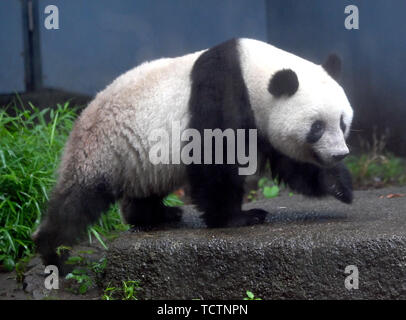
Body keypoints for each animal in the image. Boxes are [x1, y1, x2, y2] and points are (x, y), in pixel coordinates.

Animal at [33, 37, 354, 268]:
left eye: (342, 122)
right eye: (316, 127)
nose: (339, 154)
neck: (253, 70)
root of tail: (81, 116)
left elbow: (289, 161)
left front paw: (339, 184)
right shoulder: (221, 89)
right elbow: (215, 156)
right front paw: (239, 217)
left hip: (141, 160)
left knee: (144, 188)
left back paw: (157, 214)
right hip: (104, 149)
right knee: (77, 202)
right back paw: (54, 255)